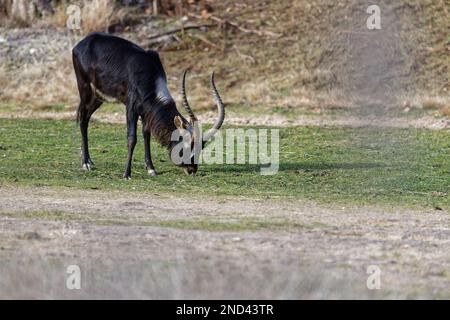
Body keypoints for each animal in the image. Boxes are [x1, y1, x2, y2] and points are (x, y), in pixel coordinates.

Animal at [73, 32, 225, 179]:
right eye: (187, 144)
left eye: (200, 147)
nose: (191, 170)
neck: (147, 73)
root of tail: (80, 44)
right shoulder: (131, 108)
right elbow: (132, 138)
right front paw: (127, 174)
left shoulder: (146, 112)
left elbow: (146, 135)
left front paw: (151, 169)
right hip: (85, 90)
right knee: (82, 117)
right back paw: (86, 163)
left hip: (98, 97)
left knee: (86, 117)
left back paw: (88, 161)